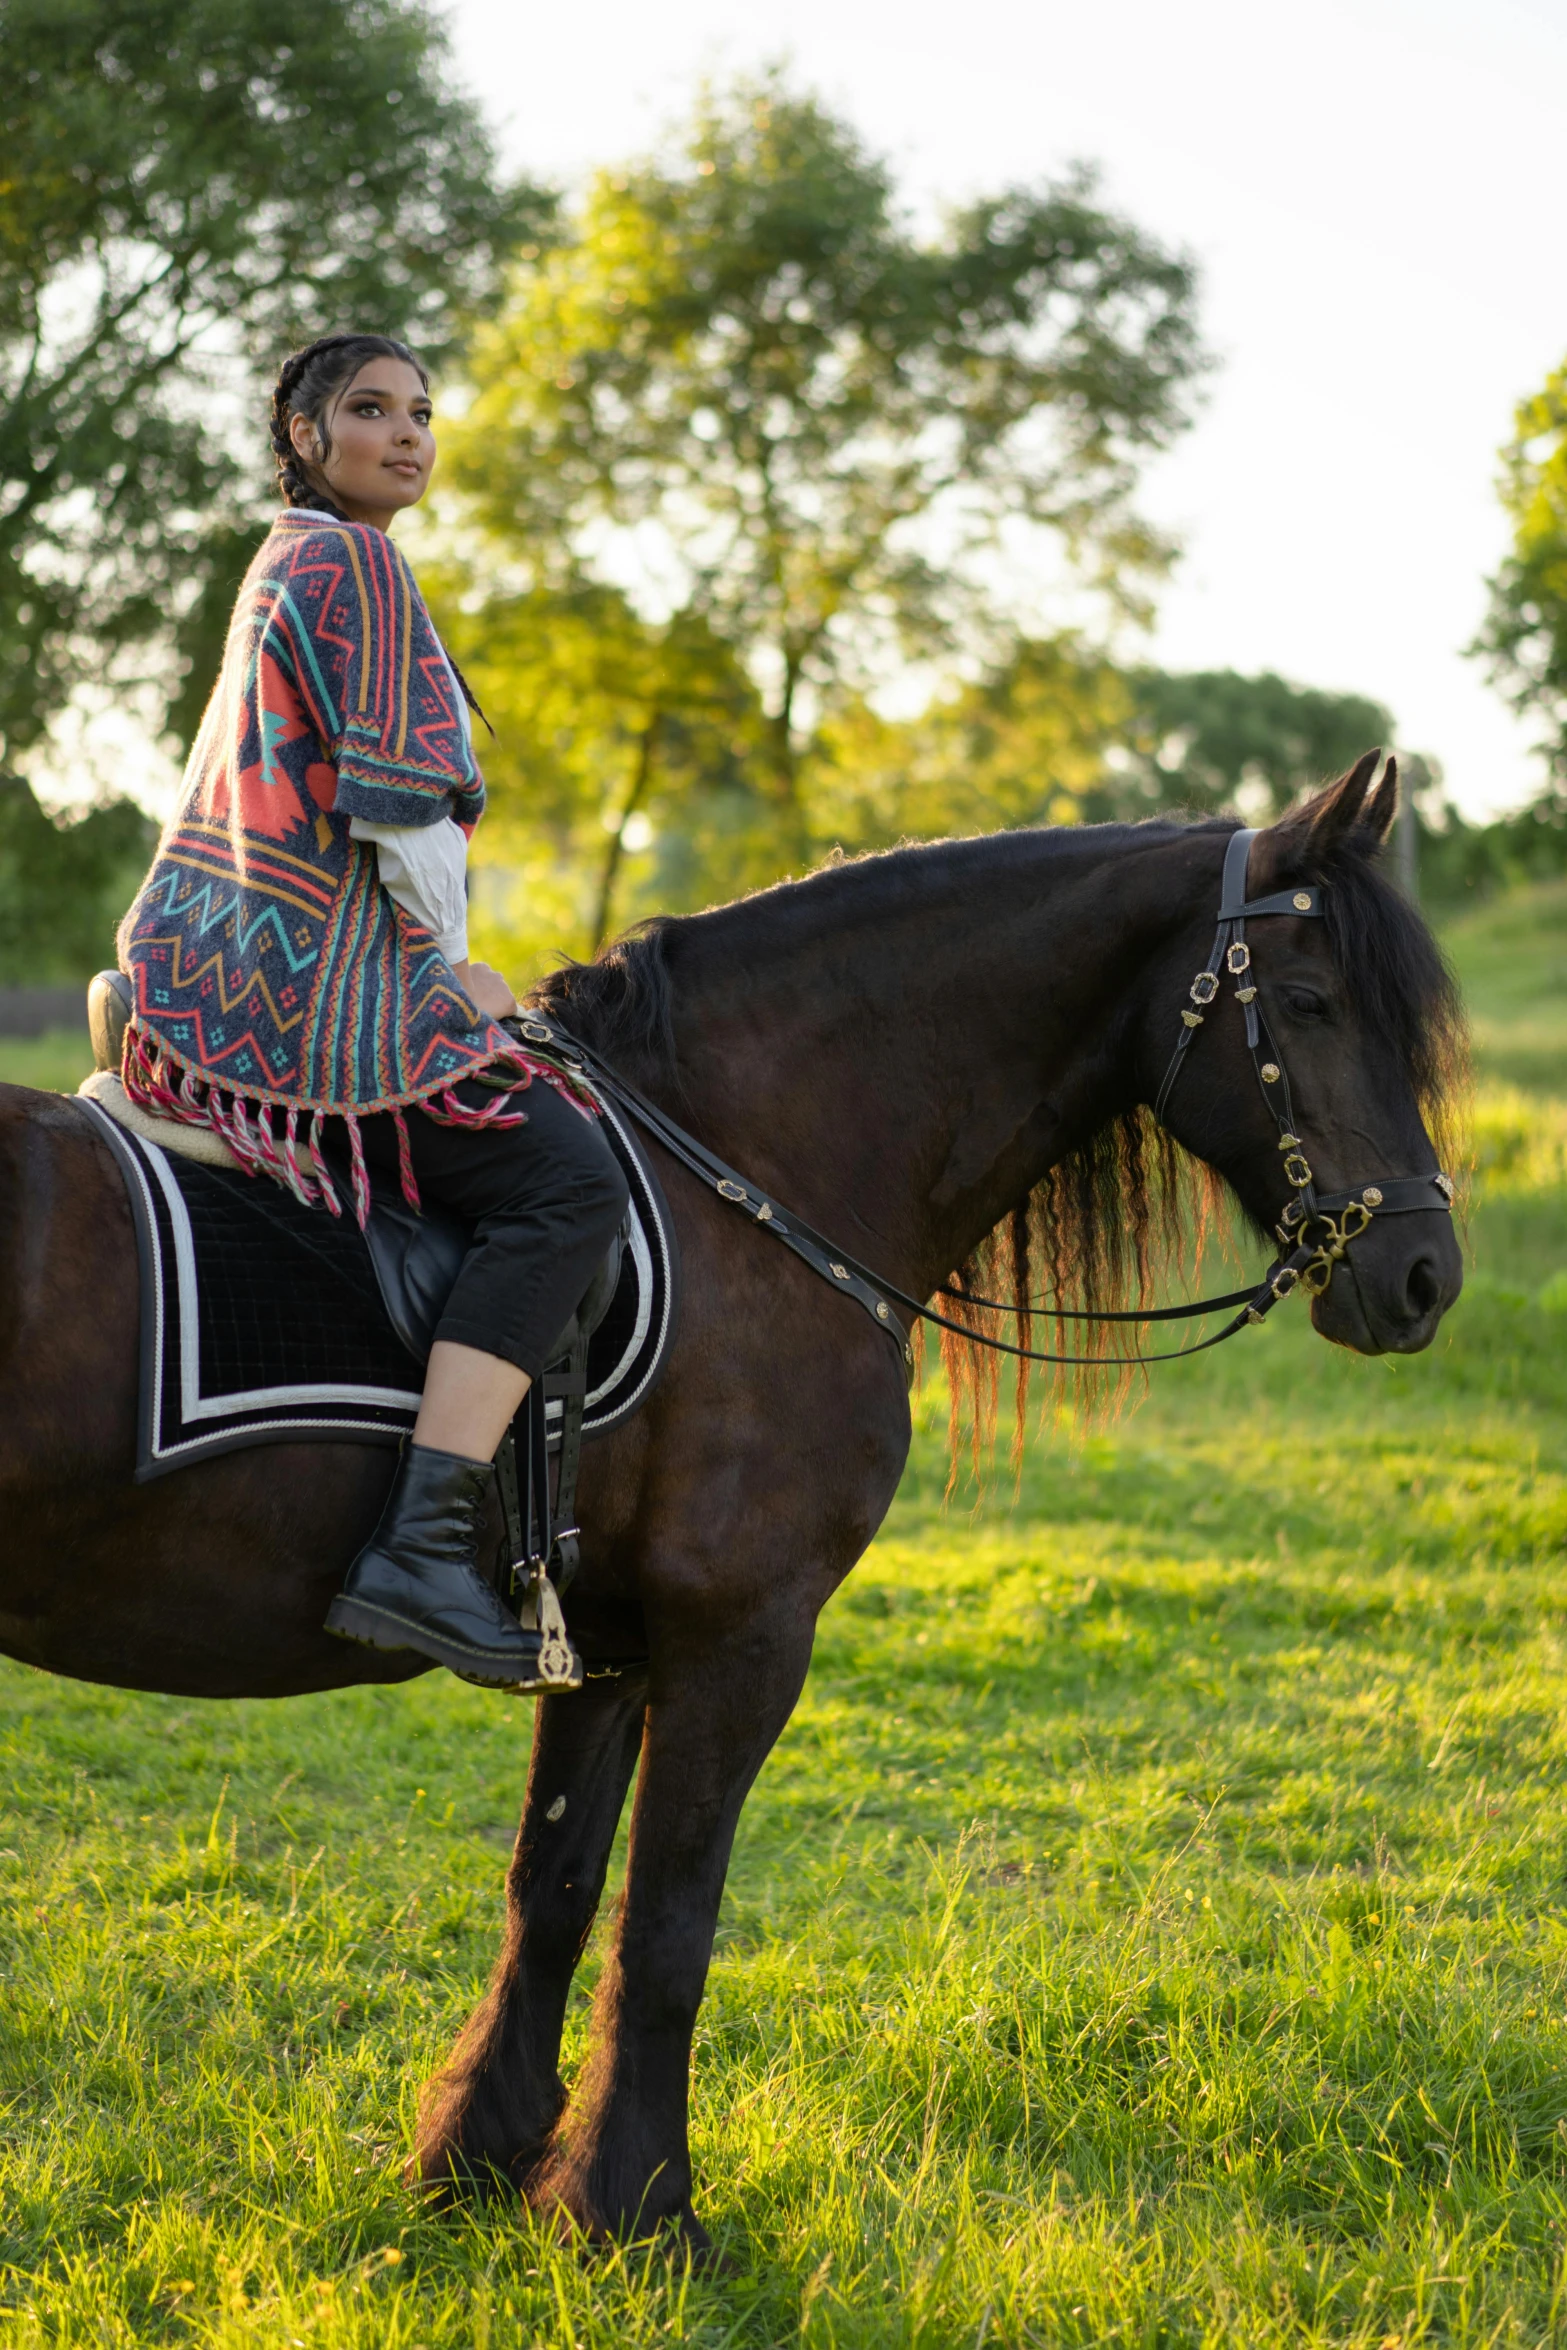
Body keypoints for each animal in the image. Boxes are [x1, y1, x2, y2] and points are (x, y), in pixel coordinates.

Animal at [0, 756, 1475, 2256]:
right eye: (1309, 1002)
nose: (1424, 1275)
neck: (749, 1171)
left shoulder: (603, 1644)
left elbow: (554, 1891)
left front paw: (484, 2155)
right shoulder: (742, 1633)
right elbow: (669, 1921)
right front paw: (638, 2206)